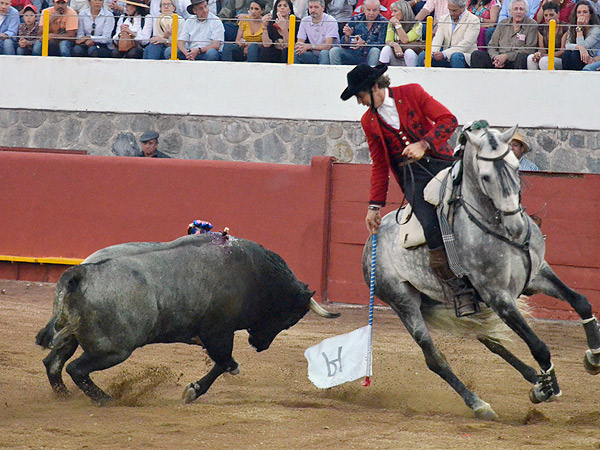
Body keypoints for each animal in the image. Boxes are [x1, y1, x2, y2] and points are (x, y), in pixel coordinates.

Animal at [35, 234, 340, 402]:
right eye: (289, 318)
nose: (260, 345)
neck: (255, 275)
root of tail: (81, 272)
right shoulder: (218, 331)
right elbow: (223, 362)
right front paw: (193, 391)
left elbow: (224, 362)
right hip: (114, 350)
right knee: (76, 369)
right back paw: (105, 399)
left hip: (71, 338)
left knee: (53, 363)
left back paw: (63, 396)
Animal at [364, 123, 596, 418]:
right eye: (485, 176)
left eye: (516, 167)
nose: (516, 227)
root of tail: (369, 244)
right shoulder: (498, 296)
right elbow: (539, 345)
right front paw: (550, 387)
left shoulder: (538, 274)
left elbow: (581, 301)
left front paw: (593, 358)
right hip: (403, 303)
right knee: (434, 358)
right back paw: (480, 403)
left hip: (455, 301)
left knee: (490, 340)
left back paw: (534, 379)